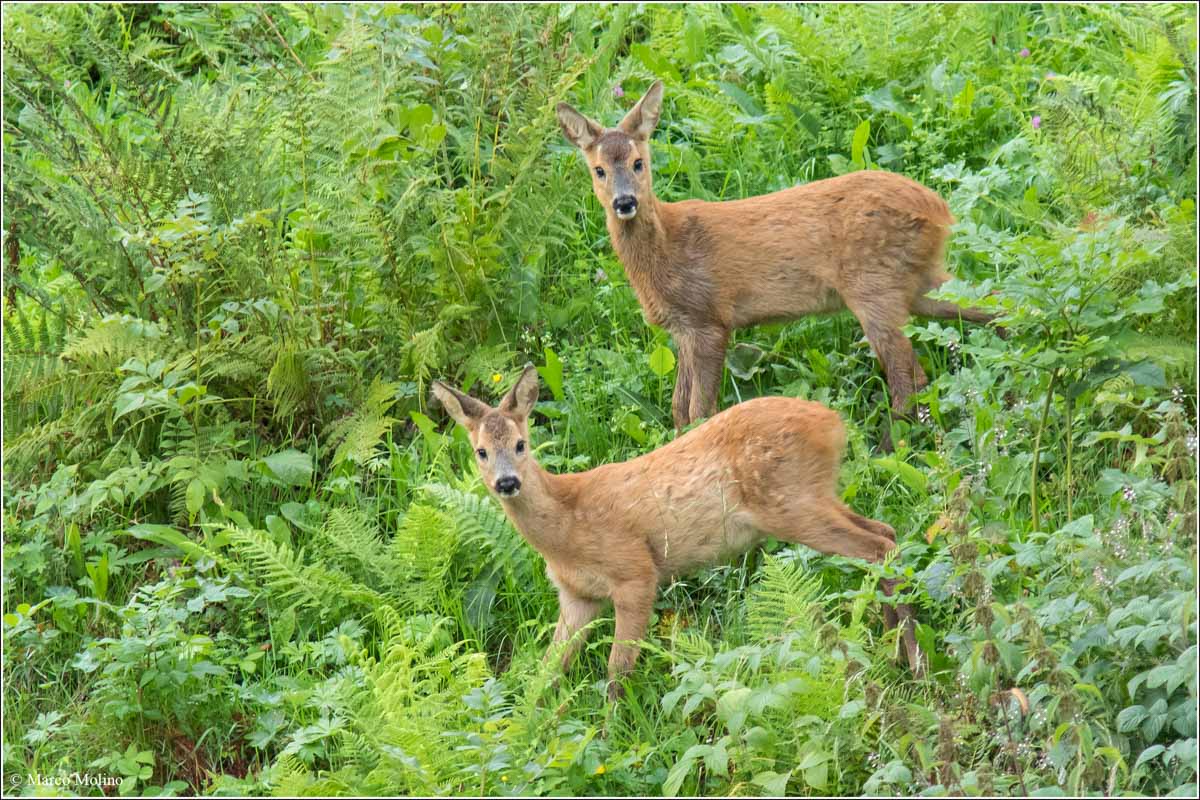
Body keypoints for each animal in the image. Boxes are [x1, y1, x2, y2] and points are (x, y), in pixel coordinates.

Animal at [436, 367, 921, 705]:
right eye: (481, 452)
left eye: (521, 445)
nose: (507, 483)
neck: (567, 526)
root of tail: (835, 423)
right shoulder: (577, 596)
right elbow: (548, 670)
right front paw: (536, 730)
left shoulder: (635, 572)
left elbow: (617, 670)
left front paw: (613, 735)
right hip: (815, 497)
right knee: (885, 531)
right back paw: (895, 651)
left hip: (792, 503)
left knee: (878, 545)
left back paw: (912, 663)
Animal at [556, 79, 998, 450]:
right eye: (598, 169)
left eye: (638, 162)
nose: (624, 202)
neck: (666, 251)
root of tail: (940, 210)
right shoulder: (682, 329)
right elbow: (679, 410)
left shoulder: (709, 320)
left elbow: (699, 410)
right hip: (919, 282)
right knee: (990, 303)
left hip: (875, 286)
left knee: (910, 376)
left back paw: (889, 447)